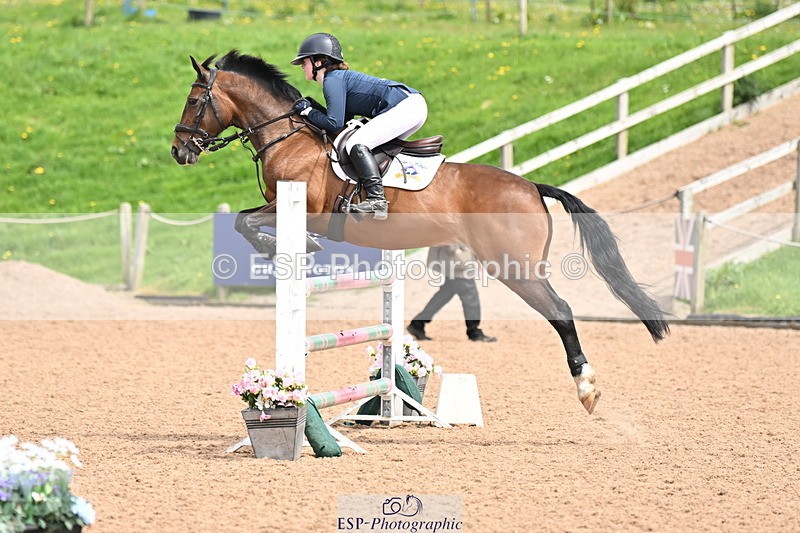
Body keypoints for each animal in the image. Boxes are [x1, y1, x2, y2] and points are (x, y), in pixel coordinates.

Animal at [171, 50, 670, 414]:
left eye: (194, 101)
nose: (179, 151)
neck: (288, 137)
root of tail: (531, 185)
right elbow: (243, 218)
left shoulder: (302, 209)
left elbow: (249, 221)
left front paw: (291, 247)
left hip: (514, 267)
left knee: (561, 312)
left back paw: (586, 388)